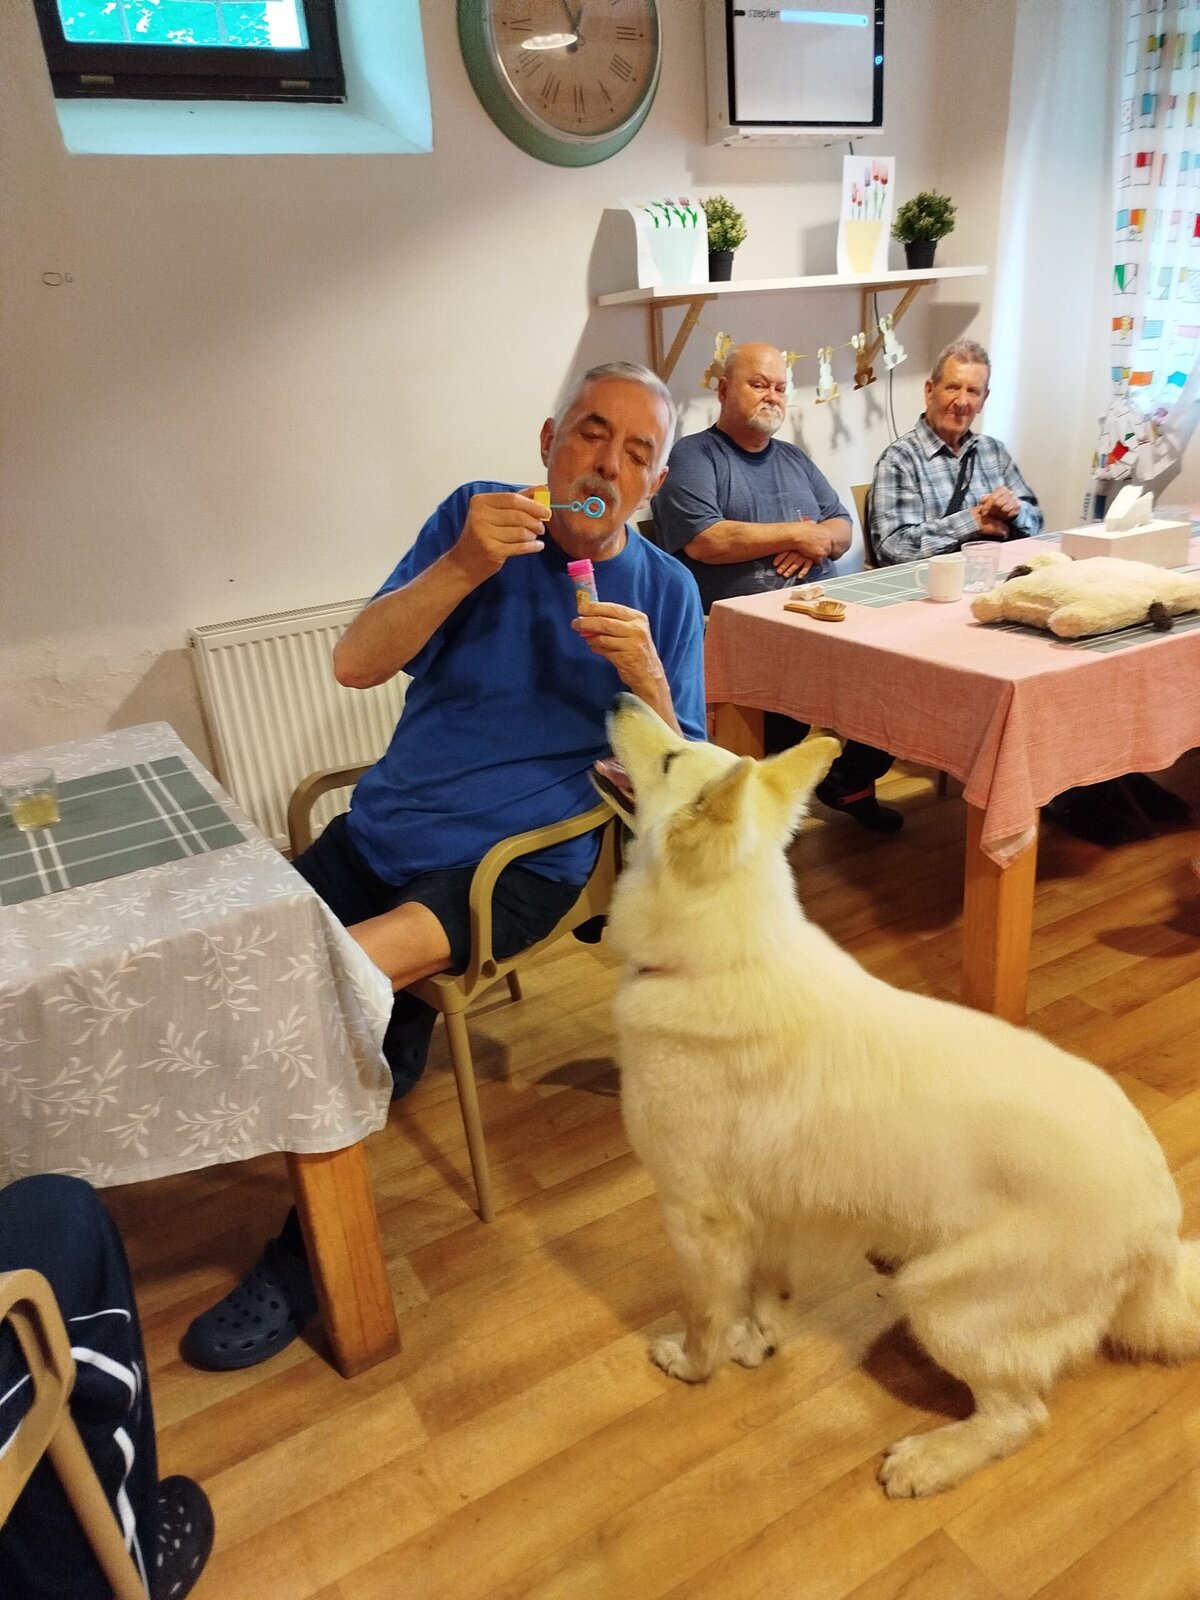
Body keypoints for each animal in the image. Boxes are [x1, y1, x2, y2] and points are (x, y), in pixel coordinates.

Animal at [605, 693, 1200, 1497]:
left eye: (671, 757)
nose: (620, 696)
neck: (719, 955)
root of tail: (1161, 1232)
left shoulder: (696, 1220)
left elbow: (704, 1315)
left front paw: (695, 1365)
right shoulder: (766, 1209)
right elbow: (764, 1292)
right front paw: (758, 1342)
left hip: (943, 1304)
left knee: (1019, 1417)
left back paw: (931, 1460)